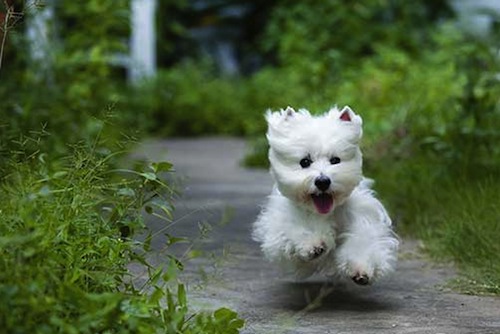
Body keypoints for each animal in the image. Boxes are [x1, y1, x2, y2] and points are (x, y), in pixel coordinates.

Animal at [254, 106, 398, 284]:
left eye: (335, 160)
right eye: (305, 162)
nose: (323, 181)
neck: (326, 212)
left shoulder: (363, 219)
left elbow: (362, 240)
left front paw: (361, 268)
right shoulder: (280, 227)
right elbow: (295, 230)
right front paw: (313, 245)